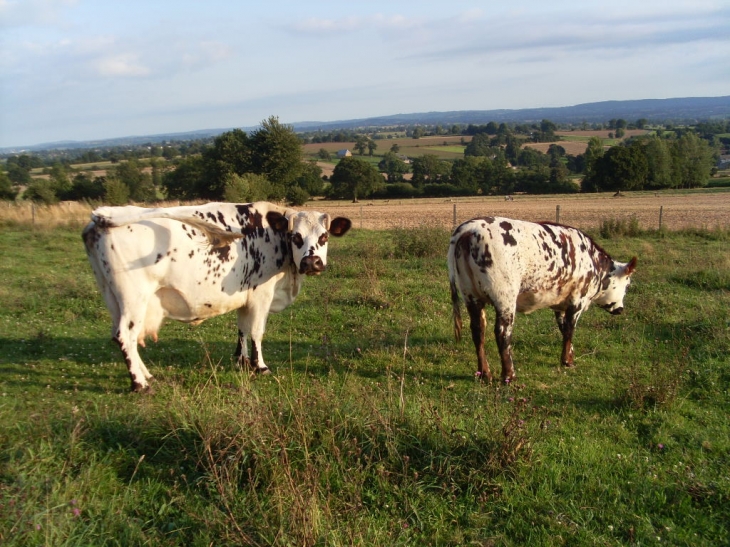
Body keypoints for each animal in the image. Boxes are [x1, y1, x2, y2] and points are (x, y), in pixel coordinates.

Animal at [82, 203, 350, 392]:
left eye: (324, 236)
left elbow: (242, 329)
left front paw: (242, 361)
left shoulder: (245, 295)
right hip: (133, 298)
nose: (311, 262)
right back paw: (140, 384)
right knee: (125, 336)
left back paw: (146, 374)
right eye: (296, 236)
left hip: (112, 296)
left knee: (122, 336)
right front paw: (260, 366)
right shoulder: (261, 295)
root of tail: (95, 224)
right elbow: (257, 331)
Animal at [446, 216, 636, 384]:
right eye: (627, 285)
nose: (620, 309)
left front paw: (570, 354)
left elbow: (563, 328)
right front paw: (567, 361)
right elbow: (570, 330)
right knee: (502, 333)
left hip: (471, 296)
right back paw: (509, 375)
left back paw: (484, 373)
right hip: (505, 298)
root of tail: (470, 228)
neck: (593, 261)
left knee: (478, 331)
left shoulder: (560, 304)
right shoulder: (577, 300)